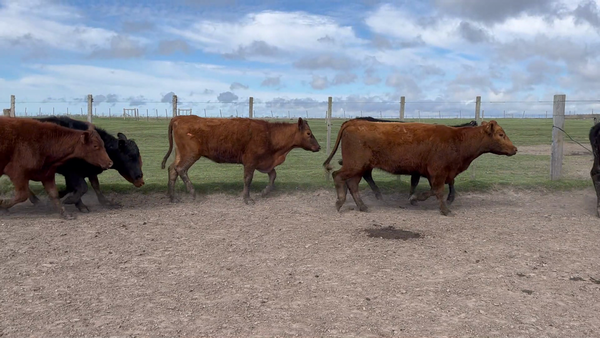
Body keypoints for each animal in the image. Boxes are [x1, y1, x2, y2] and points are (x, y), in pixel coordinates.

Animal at [158, 116, 318, 203]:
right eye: (308, 133)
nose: (318, 147)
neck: (270, 134)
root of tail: (179, 118)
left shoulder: (265, 162)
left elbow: (273, 176)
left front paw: (264, 192)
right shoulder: (250, 162)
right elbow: (248, 179)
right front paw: (247, 198)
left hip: (181, 154)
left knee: (172, 170)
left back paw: (173, 198)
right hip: (190, 155)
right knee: (180, 169)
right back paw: (192, 193)